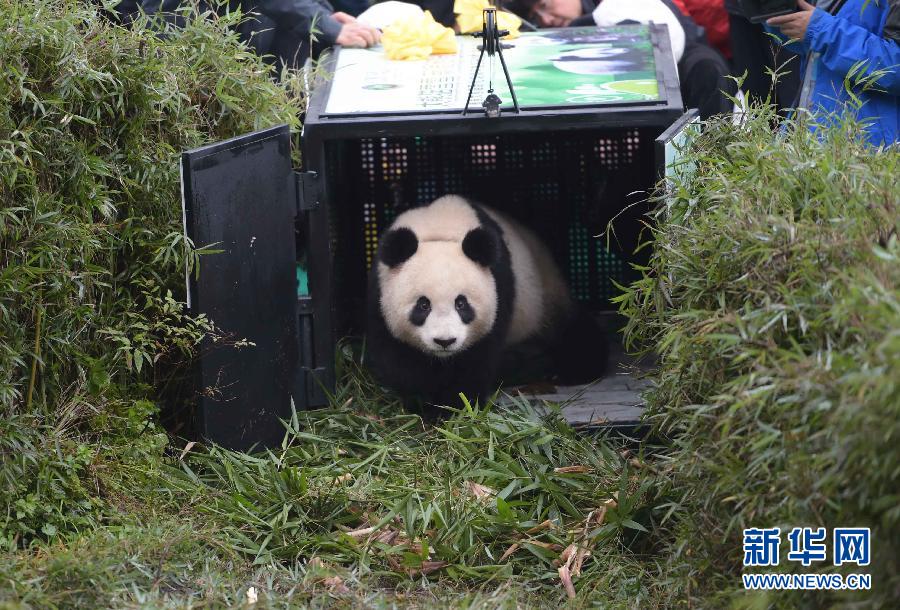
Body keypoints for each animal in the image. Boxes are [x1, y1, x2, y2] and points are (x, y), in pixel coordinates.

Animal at [364, 192, 604, 416]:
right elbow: (398, 356)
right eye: (423, 305)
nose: (445, 341)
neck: (439, 231)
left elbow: (479, 357)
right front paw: (424, 403)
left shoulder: (499, 283)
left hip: (546, 300)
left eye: (461, 303)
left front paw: (456, 405)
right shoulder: (379, 293)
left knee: (576, 335)